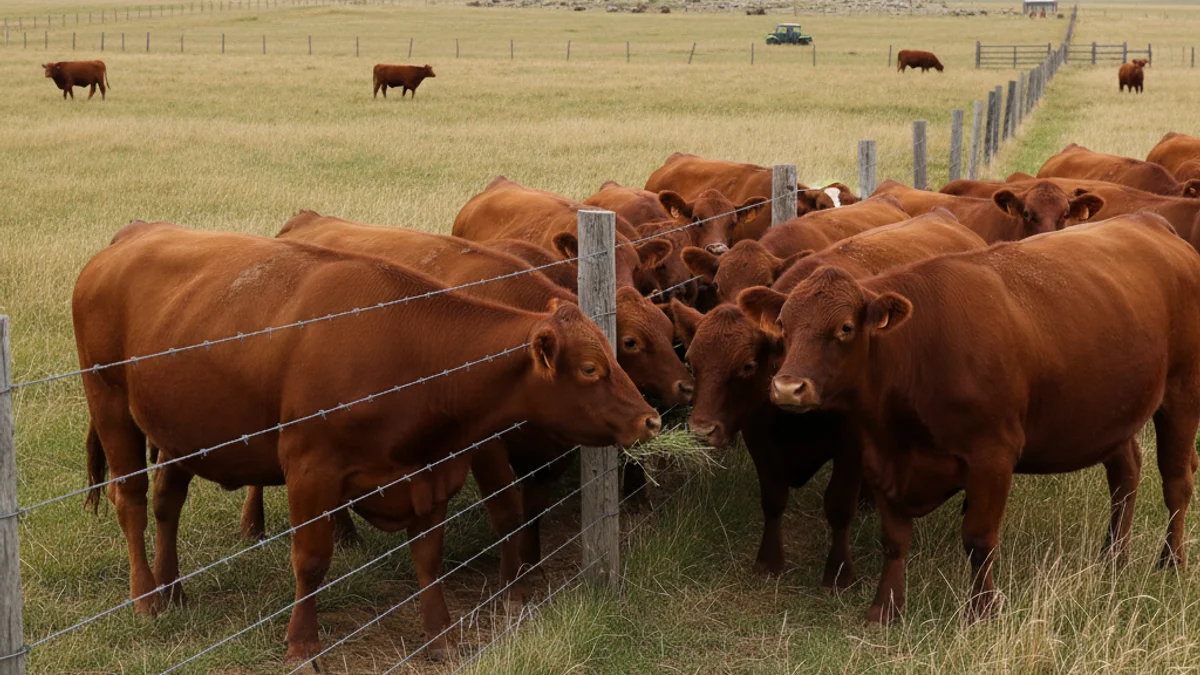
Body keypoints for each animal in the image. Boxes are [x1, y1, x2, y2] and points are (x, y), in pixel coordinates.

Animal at [75, 221, 660, 661]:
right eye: (590, 368)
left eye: (616, 351)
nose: (650, 420)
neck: (409, 352)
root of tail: (129, 238)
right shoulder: (310, 467)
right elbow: (311, 559)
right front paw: (302, 646)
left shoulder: (433, 471)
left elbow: (429, 556)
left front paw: (440, 637)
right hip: (111, 405)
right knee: (131, 501)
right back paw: (146, 598)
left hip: (179, 432)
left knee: (166, 503)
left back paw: (173, 587)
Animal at [670, 210, 985, 587]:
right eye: (692, 361)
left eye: (747, 366)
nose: (702, 430)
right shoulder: (759, 437)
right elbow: (773, 500)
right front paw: (769, 561)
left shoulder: (851, 446)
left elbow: (838, 507)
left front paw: (838, 573)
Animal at [761, 214, 1200, 626]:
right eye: (782, 326)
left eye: (845, 328)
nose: (787, 387)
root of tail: (1148, 220)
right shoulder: (880, 458)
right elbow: (894, 540)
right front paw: (884, 609)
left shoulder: (992, 456)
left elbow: (978, 539)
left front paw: (981, 610)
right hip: (1112, 415)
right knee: (1126, 475)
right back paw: (1113, 556)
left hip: (1181, 395)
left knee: (1176, 484)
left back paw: (1170, 561)